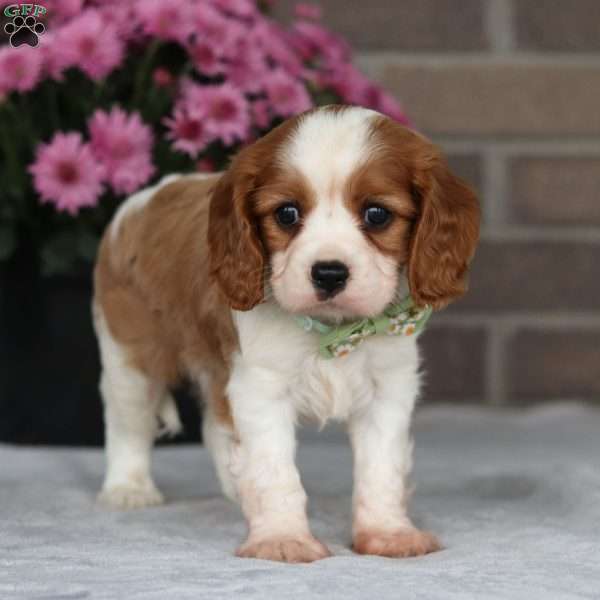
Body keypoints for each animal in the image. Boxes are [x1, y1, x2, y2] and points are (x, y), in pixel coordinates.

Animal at [92, 104, 478, 564]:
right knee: (128, 420)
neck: (334, 331)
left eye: (377, 214)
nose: (328, 273)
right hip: (130, 353)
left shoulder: (388, 390)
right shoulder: (261, 389)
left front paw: (388, 533)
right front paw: (281, 538)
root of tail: (144, 198)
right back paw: (128, 488)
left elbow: (381, 469)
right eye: (287, 214)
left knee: (212, 426)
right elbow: (274, 472)